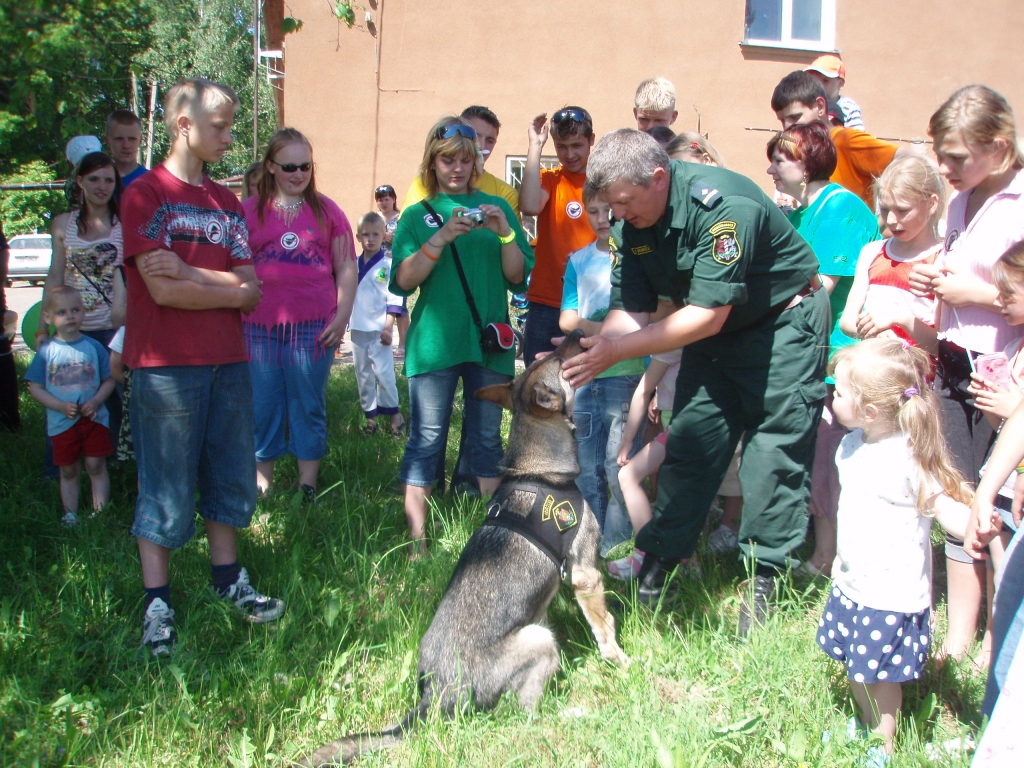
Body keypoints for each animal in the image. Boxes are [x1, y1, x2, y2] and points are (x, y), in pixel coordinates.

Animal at [296, 333, 626, 765]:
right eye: (560, 359)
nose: (573, 334)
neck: (540, 469)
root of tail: (433, 699)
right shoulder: (585, 573)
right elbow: (605, 627)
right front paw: (620, 661)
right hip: (540, 640)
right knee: (521, 715)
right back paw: (570, 715)